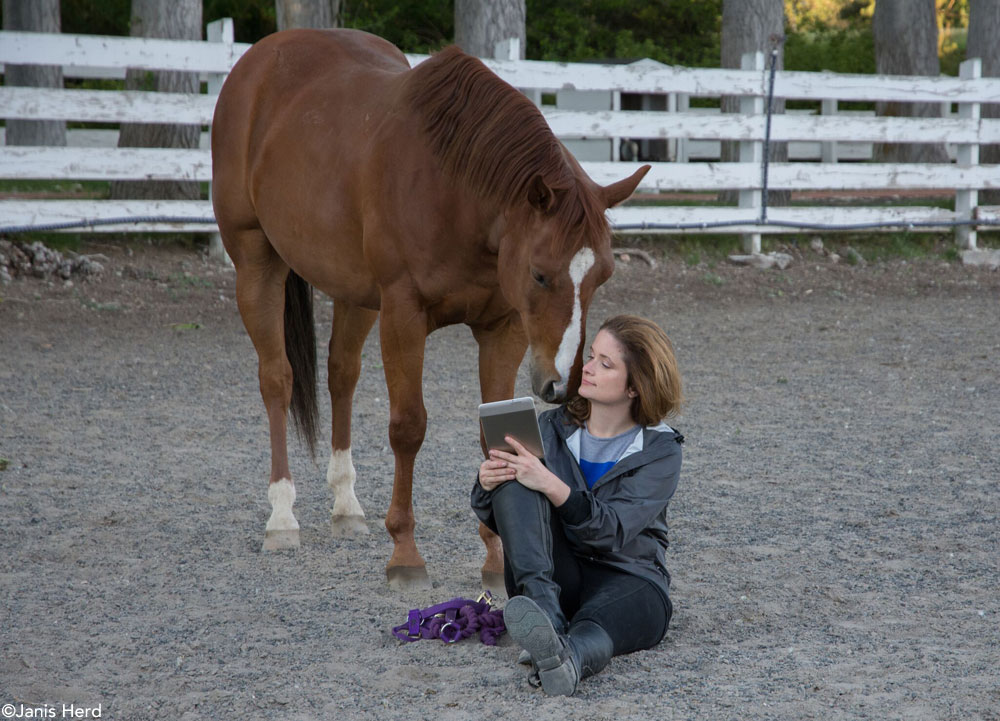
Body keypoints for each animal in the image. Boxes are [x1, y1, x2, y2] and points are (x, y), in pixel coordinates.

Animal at [211, 29, 648, 592]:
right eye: (539, 274)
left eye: (603, 276)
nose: (562, 386)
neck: (455, 190)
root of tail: (261, 58)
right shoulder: (403, 315)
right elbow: (408, 427)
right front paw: (404, 552)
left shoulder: (503, 328)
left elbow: (493, 437)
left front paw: (497, 562)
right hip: (255, 262)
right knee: (276, 379)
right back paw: (282, 516)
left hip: (354, 291)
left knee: (341, 374)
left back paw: (346, 506)